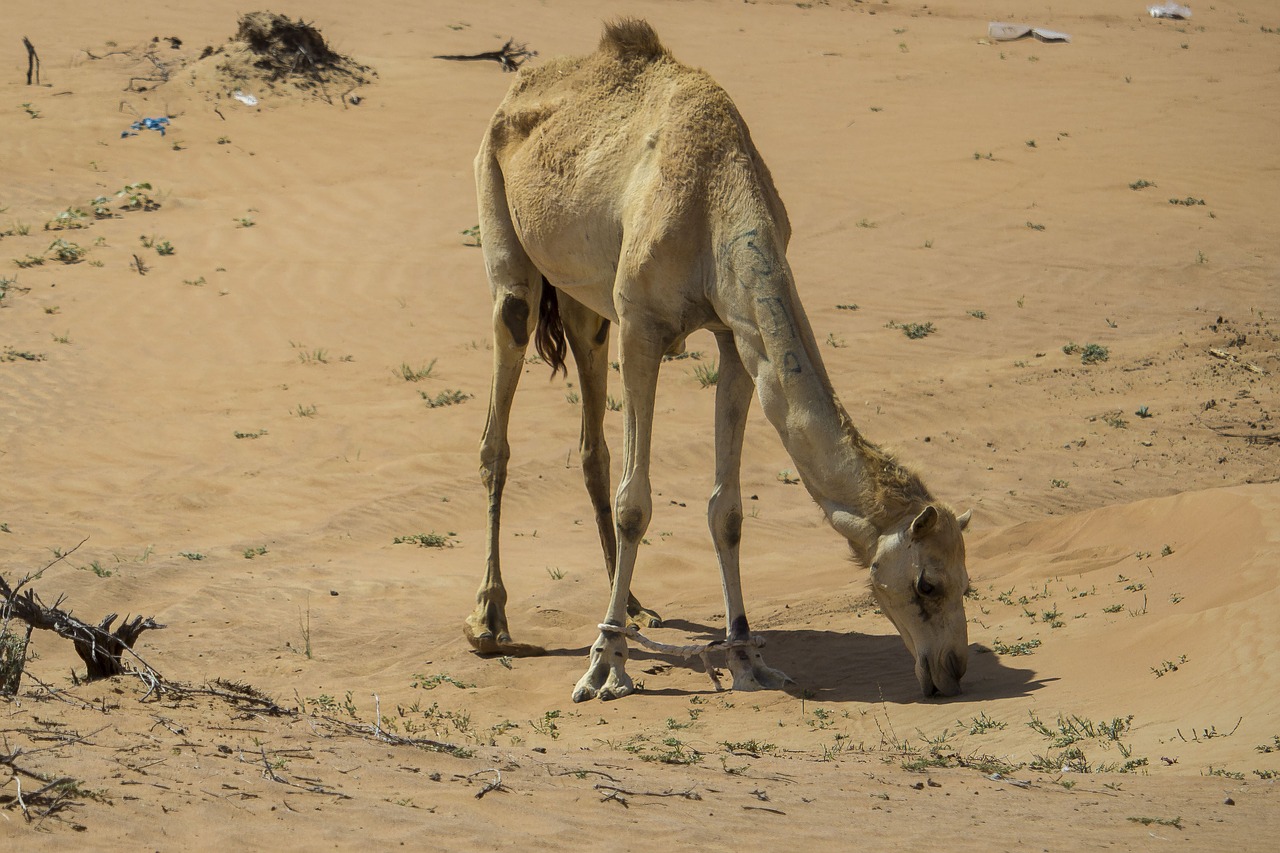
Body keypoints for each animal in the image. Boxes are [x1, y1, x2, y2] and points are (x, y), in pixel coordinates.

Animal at [465, 18, 972, 696]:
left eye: (966, 581)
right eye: (928, 583)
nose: (952, 669)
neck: (714, 197)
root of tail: (513, 94)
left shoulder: (737, 335)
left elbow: (726, 511)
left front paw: (746, 657)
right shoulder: (642, 326)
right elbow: (635, 504)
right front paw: (605, 665)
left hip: (585, 304)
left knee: (592, 441)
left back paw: (632, 606)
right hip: (505, 238)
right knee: (500, 418)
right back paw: (491, 623)